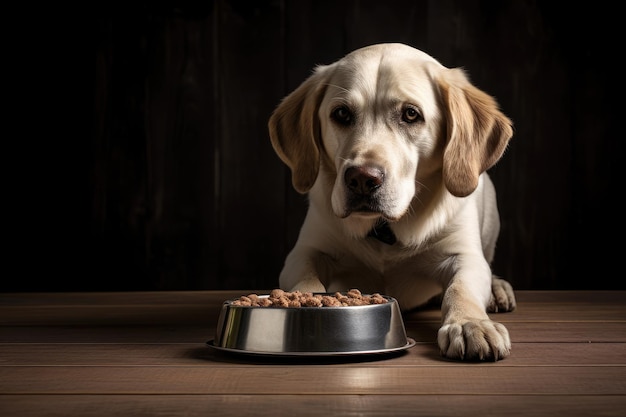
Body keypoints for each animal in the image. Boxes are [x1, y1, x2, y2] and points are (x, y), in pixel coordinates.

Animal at [266, 43, 516, 360]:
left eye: (410, 114)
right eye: (341, 114)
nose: (362, 178)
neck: (385, 230)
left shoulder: (464, 255)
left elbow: (460, 288)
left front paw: (470, 324)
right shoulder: (304, 252)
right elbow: (308, 280)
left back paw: (498, 289)